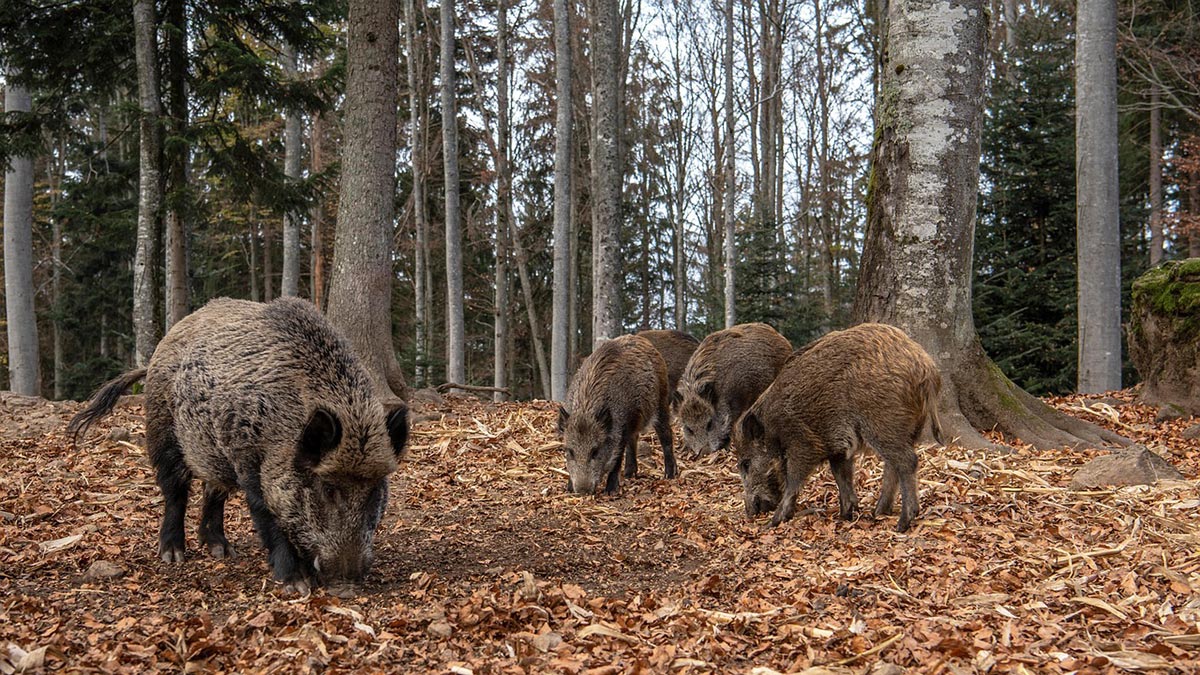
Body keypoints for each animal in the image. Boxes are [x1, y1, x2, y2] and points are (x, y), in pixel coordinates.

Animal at [67, 297, 408, 595]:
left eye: (376, 489)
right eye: (327, 488)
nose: (347, 586)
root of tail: (159, 350)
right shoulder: (249, 459)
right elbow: (266, 514)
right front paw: (296, 584)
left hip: (214, 451)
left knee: (212, 491)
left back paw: (221, 550)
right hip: (162, 430)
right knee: (175, 491)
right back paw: (173, 555)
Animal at [558, 334, 678, 494]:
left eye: (595, 451)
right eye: (570, 451)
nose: (583, 491)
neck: (586, 409)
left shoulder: (622, 427)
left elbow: (617, 458)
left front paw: (610, 491)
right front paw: (569, 489)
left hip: (661, 401)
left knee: (666, 435)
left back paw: (670, 475)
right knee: (634, 440)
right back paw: (629, 474)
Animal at [733, 322, 944, 532]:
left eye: (746, 464)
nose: (749, 513)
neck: (773, 430)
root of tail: (926, 368)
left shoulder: (803, 444)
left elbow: (794, 480)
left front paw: (772, 523)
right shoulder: (837, 448)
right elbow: (841, 475)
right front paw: (845, 515)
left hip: (883, 423)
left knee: (907, 461)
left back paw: (902, 524)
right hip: (907, 428)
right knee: (893, 465)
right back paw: (879, 513)